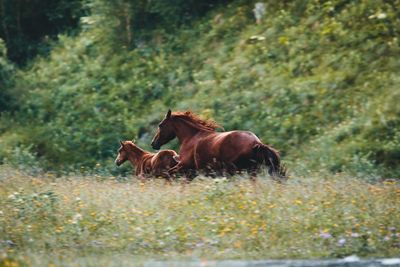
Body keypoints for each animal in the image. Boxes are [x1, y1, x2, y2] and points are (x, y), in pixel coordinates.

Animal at [149, 110, 284, 181]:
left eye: (160, 125)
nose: (153, 143)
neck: (192, 137)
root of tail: (256, 142)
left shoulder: (185, 166)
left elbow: (168, 174)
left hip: (235, 170)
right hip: (251, 171)